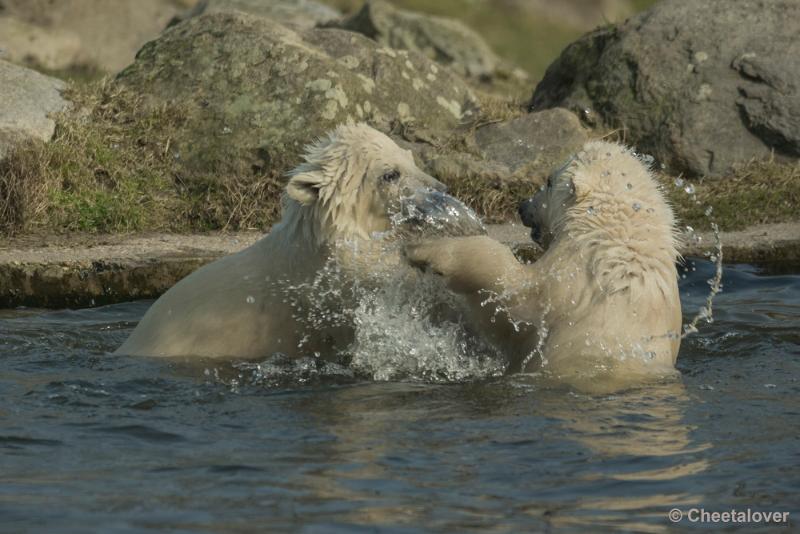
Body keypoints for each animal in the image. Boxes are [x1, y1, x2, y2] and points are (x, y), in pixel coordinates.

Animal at [406, 141, 680, 394]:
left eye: (548, 181)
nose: (522, 206)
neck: (618, 244)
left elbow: (512, 298)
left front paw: (424, 250)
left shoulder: (572, 280)